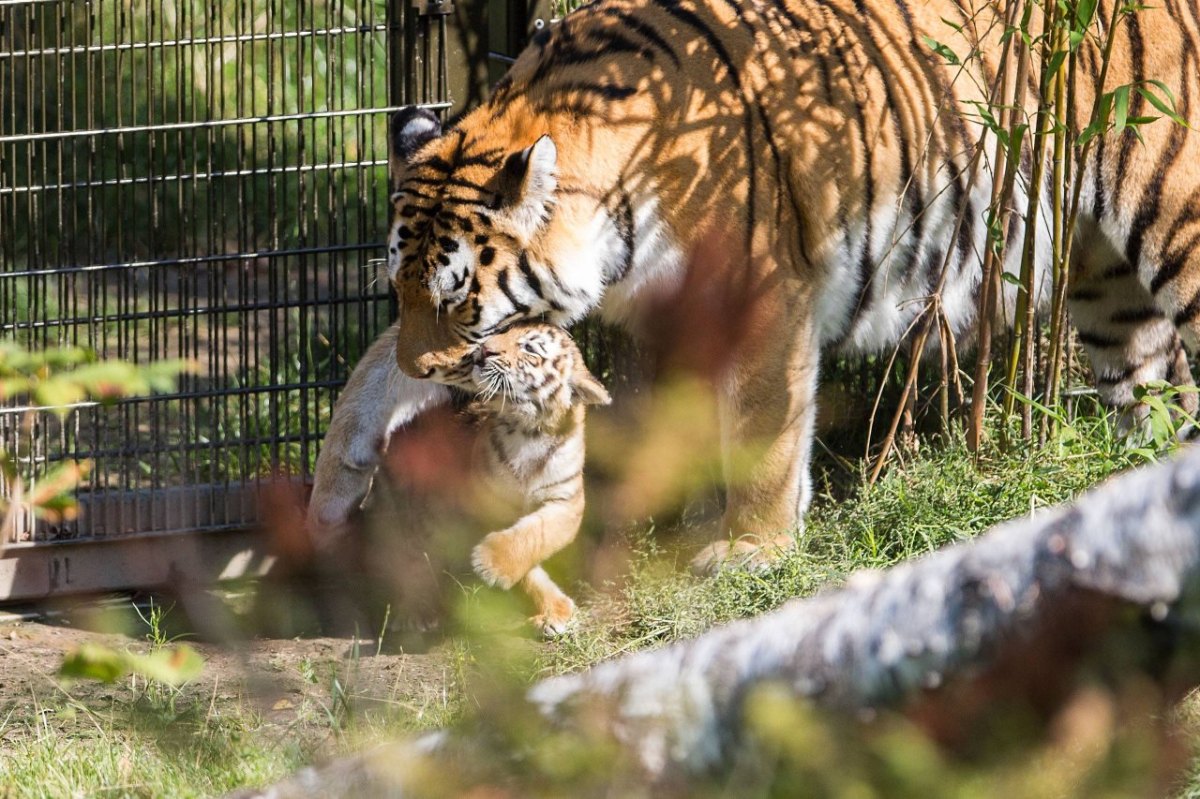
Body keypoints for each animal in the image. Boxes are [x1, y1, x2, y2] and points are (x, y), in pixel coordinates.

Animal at [307, 0, 1200, 568]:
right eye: (401, 290)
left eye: (459, 299)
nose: (431, 369)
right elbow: (374, 368)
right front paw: (334, 485)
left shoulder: (765, 293)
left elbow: (765, 427)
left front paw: (752, 547)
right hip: (1107, 281)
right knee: (1158, 391)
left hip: (1177, 224)